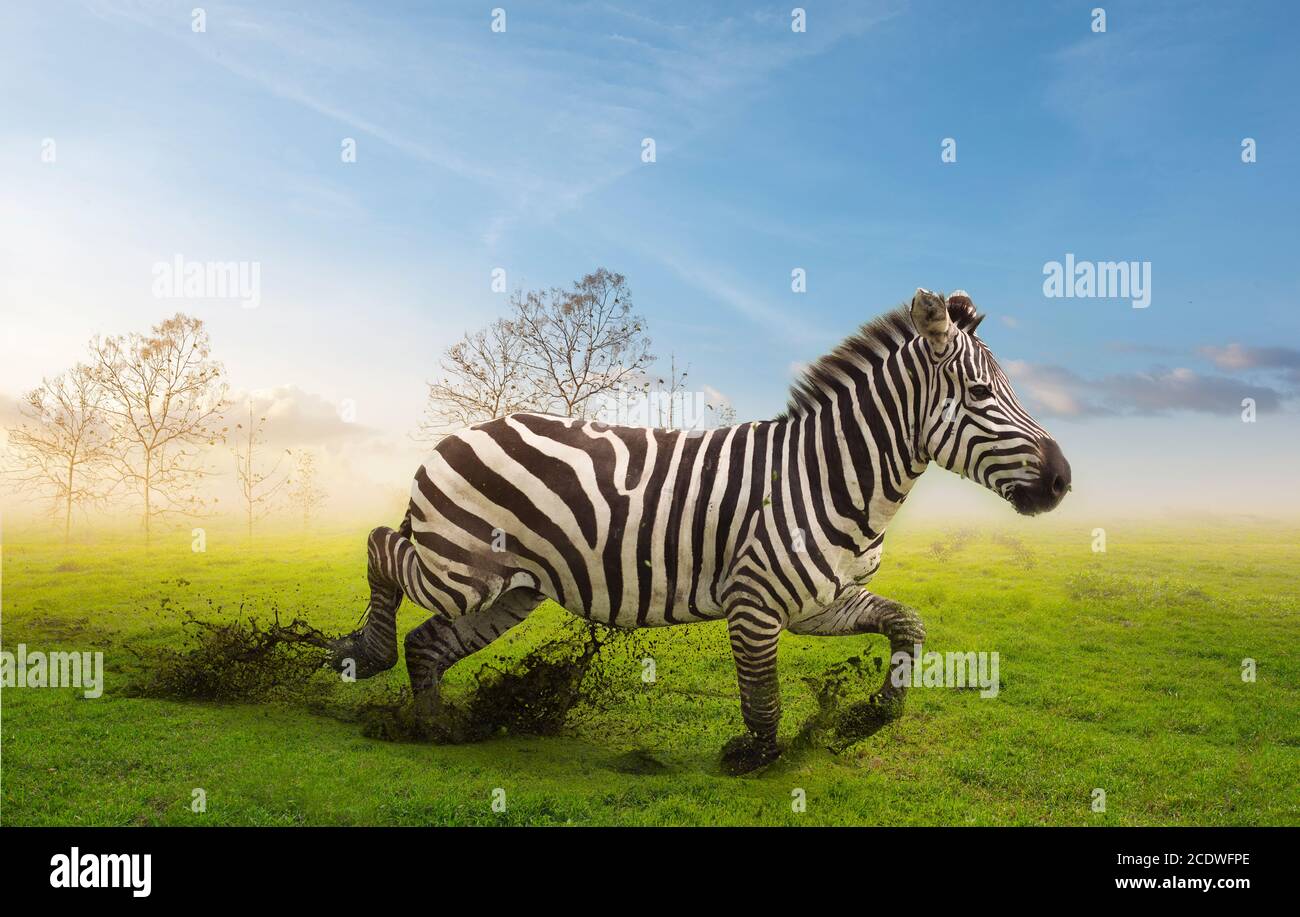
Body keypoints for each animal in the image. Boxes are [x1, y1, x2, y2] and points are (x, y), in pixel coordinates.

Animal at [330, 288, 1071, 772]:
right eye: (981, 395)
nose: (1063, 479)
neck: (829, 474)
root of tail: (463, 432)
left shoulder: (822, 602)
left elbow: (907, 624)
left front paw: (873, 714)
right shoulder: (755, 605)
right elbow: (762, 696)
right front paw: (753, 757)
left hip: (511, 588)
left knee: (428, 643)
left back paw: (434, 729)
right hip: (461, 569)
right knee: (380, 545)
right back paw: (365, 655)